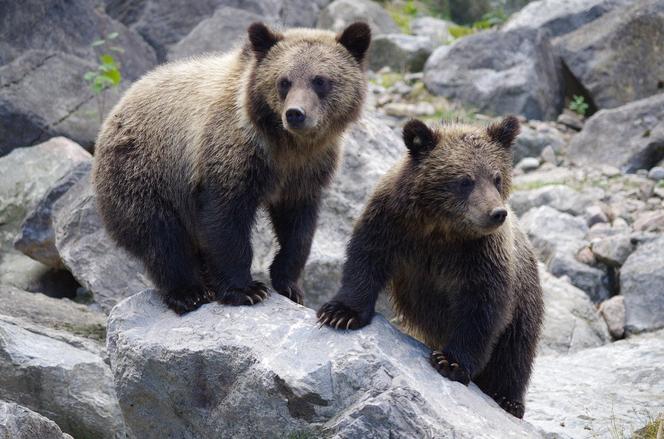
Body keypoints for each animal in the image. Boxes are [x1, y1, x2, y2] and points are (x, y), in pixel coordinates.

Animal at [92, 22, 374, 314]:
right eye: (284, 81)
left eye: (320, 80)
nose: (296, 113)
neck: (286, 145)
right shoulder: (231, 156)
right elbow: (225, 221)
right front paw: (246, 289)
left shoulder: (305, 173)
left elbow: (298, 228)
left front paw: (289, 284)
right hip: (144, 172)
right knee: (162, 236)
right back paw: (188, 292)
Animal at [318, 117, 544, 420]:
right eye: (464, 180)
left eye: (497, 177)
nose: (497, 213)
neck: (440, 228)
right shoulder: (391, 223)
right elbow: (365, 261)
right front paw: (340, 313)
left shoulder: (480, 256)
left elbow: (481, 308)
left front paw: (451, 362)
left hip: (525, 298)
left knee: (515, 351)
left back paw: (508, 399)